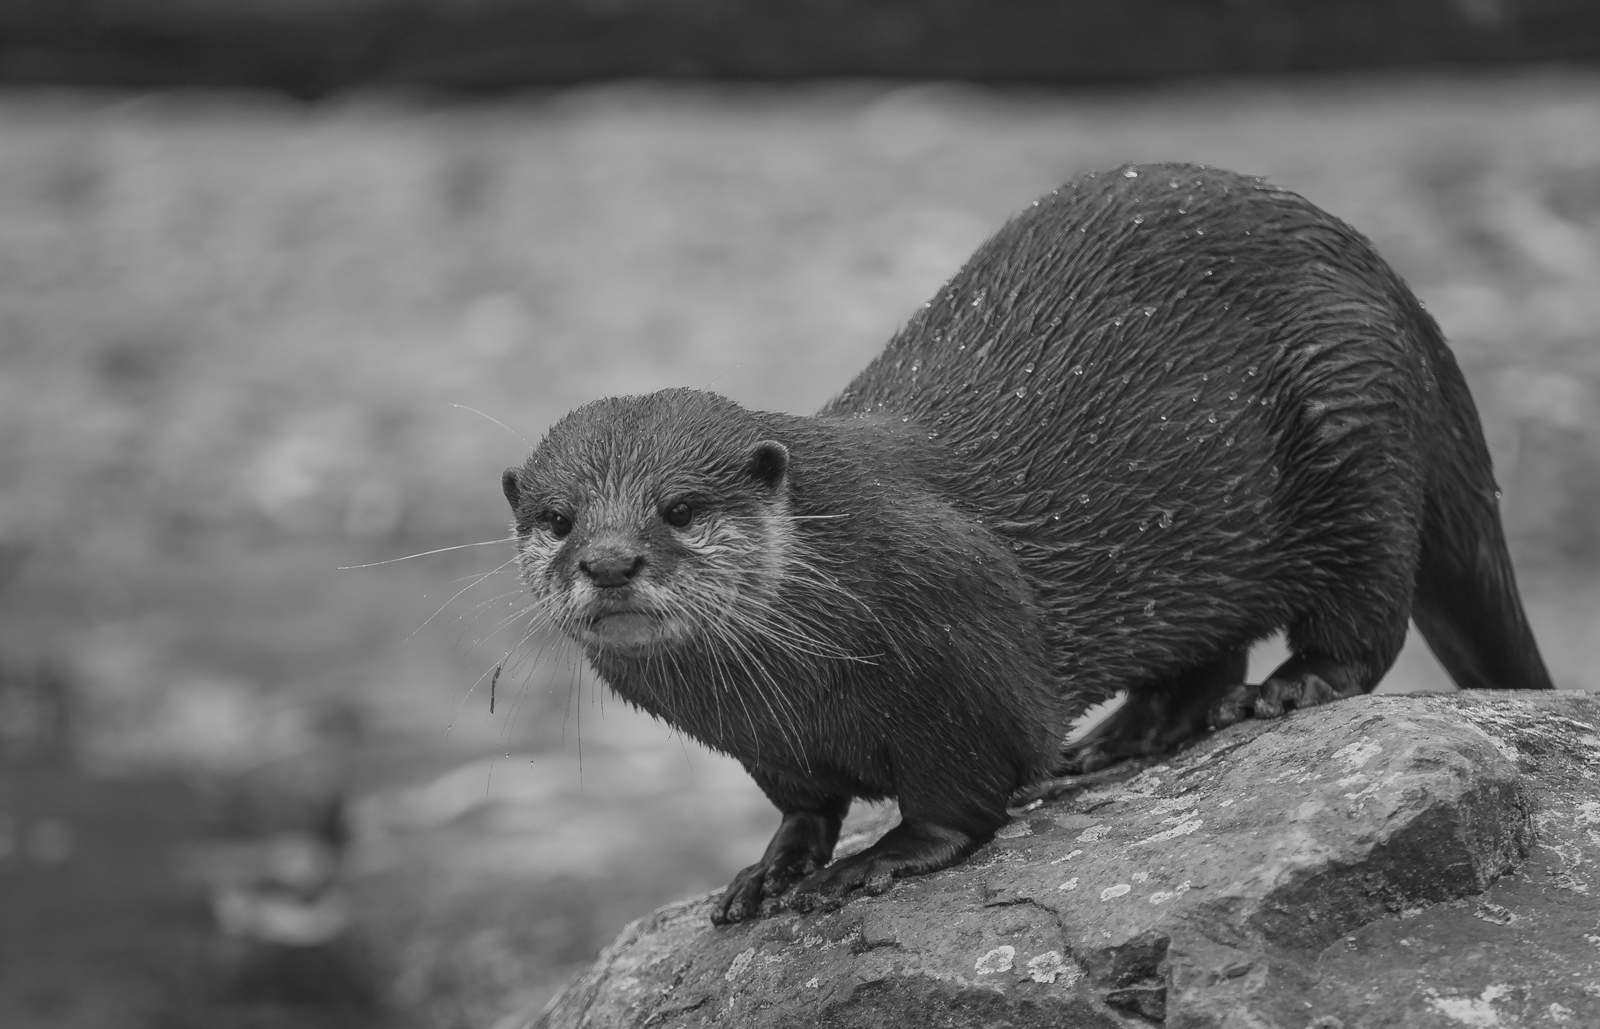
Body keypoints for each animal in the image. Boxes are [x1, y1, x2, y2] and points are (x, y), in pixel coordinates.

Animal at [502, 163, 1548, 928]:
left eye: (679, 508)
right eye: (556, 517)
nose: (608, 562)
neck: (796, 687)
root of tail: (1393, 288)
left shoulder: (965, 651)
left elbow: (967, 790)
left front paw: (879, 862)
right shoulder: (769, 747)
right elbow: (805, 805)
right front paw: (774, 870)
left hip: (1353, 418)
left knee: (1363, 617)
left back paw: (1287, 689)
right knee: (1202, 654)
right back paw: (1127, 735)